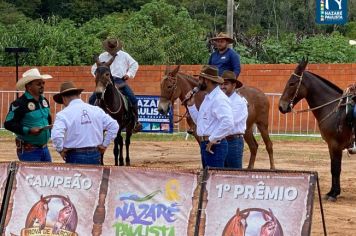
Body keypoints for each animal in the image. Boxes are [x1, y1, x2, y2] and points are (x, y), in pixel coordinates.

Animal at [278, 58, 350, 200]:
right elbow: (333, 168)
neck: (333, 108)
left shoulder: (335, 145)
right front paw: (332, 192)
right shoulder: (331, 146)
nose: (281, 106)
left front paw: (334, 194)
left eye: (292, 83)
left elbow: (336, 169)